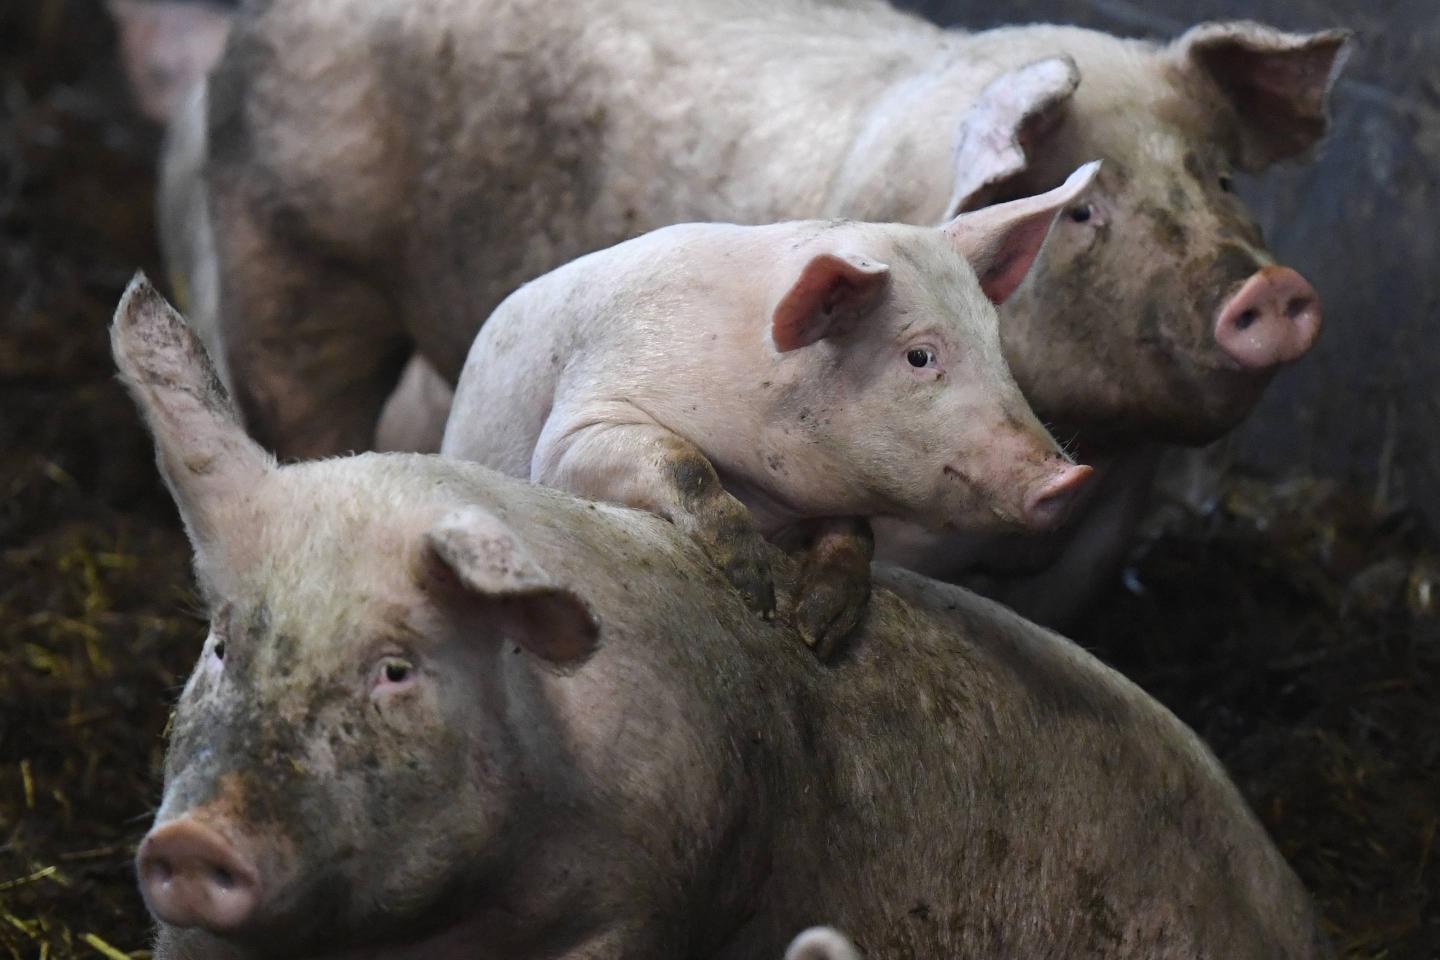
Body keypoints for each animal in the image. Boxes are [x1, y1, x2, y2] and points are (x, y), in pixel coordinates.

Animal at [440, 167, 1099, 653]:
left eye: (996, 343)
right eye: (919, 356)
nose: (1072, 478)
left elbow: (855, 532)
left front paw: (816, 632)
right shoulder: (581, 420)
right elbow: (680, 462)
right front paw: (756, 595)